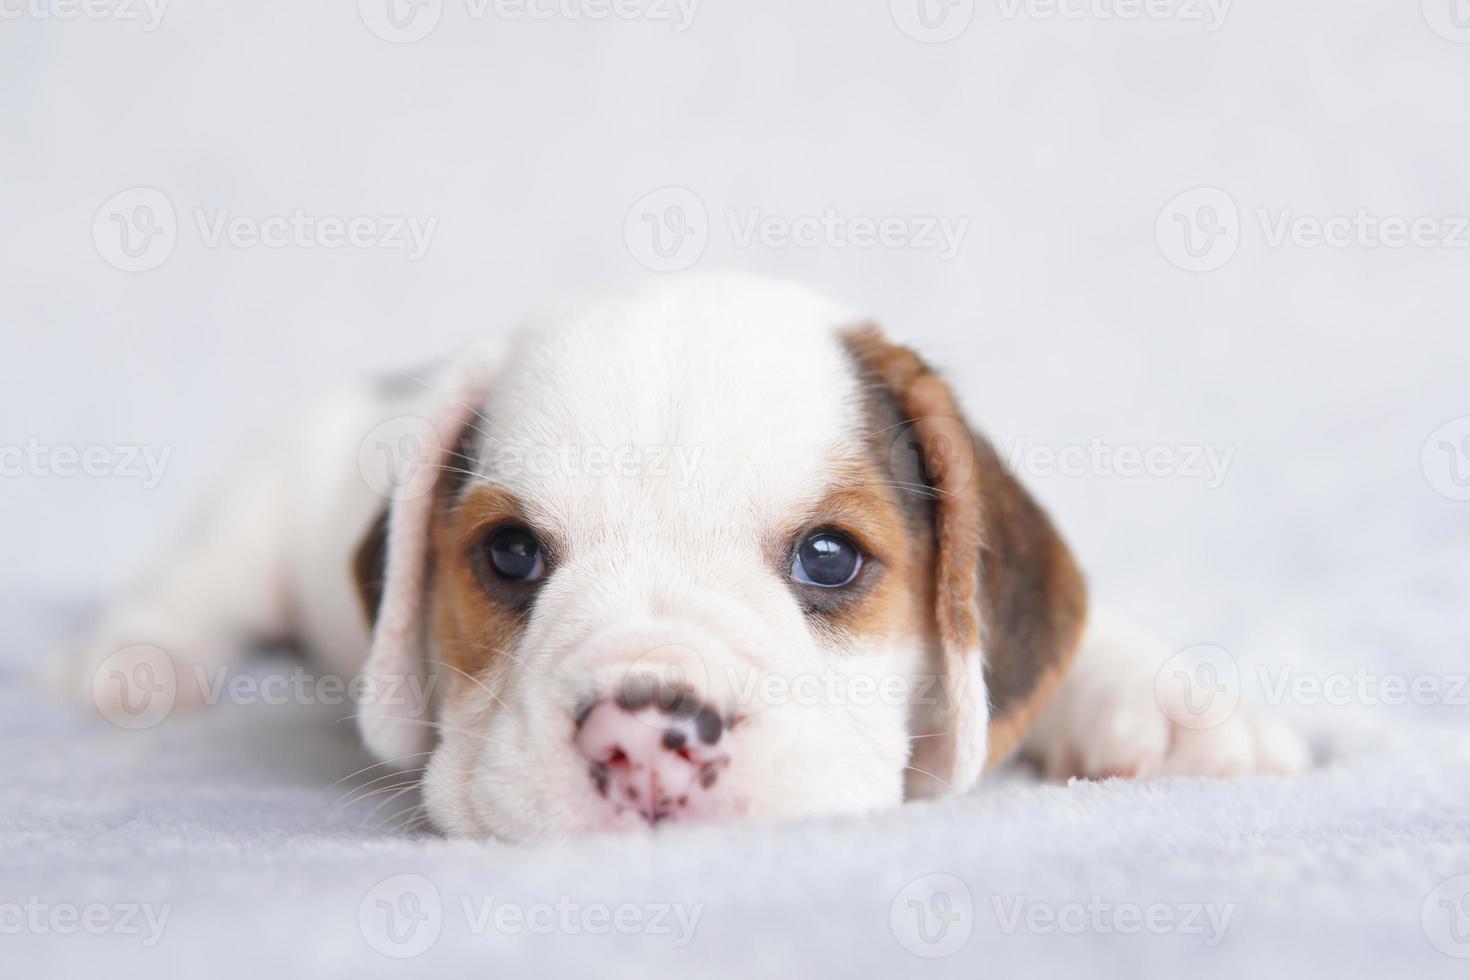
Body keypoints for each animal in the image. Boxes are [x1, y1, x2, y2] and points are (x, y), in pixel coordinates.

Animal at [54, 276, 1311, 846]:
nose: (644, 735)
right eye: (511, 555)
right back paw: (137, 654)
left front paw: (1169, 702)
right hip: (260, 503)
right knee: (201, 576)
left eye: (830, 557)